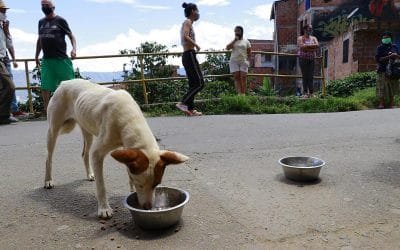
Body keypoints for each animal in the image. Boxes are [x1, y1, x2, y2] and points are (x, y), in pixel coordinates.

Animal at [44, 79, 188, 218]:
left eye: (156, 184)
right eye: (140, 184)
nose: (147, 208)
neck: (130, 118)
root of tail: (64, 83)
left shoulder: (127, 148)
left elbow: (128, 170)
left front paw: (131, 192)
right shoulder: (98, 153)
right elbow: (101, 186)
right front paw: (104, 209)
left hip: (87, 130)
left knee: (85, 154)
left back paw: (90, 174)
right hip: (53, 130)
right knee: (48, 157)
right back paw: (48, 181)